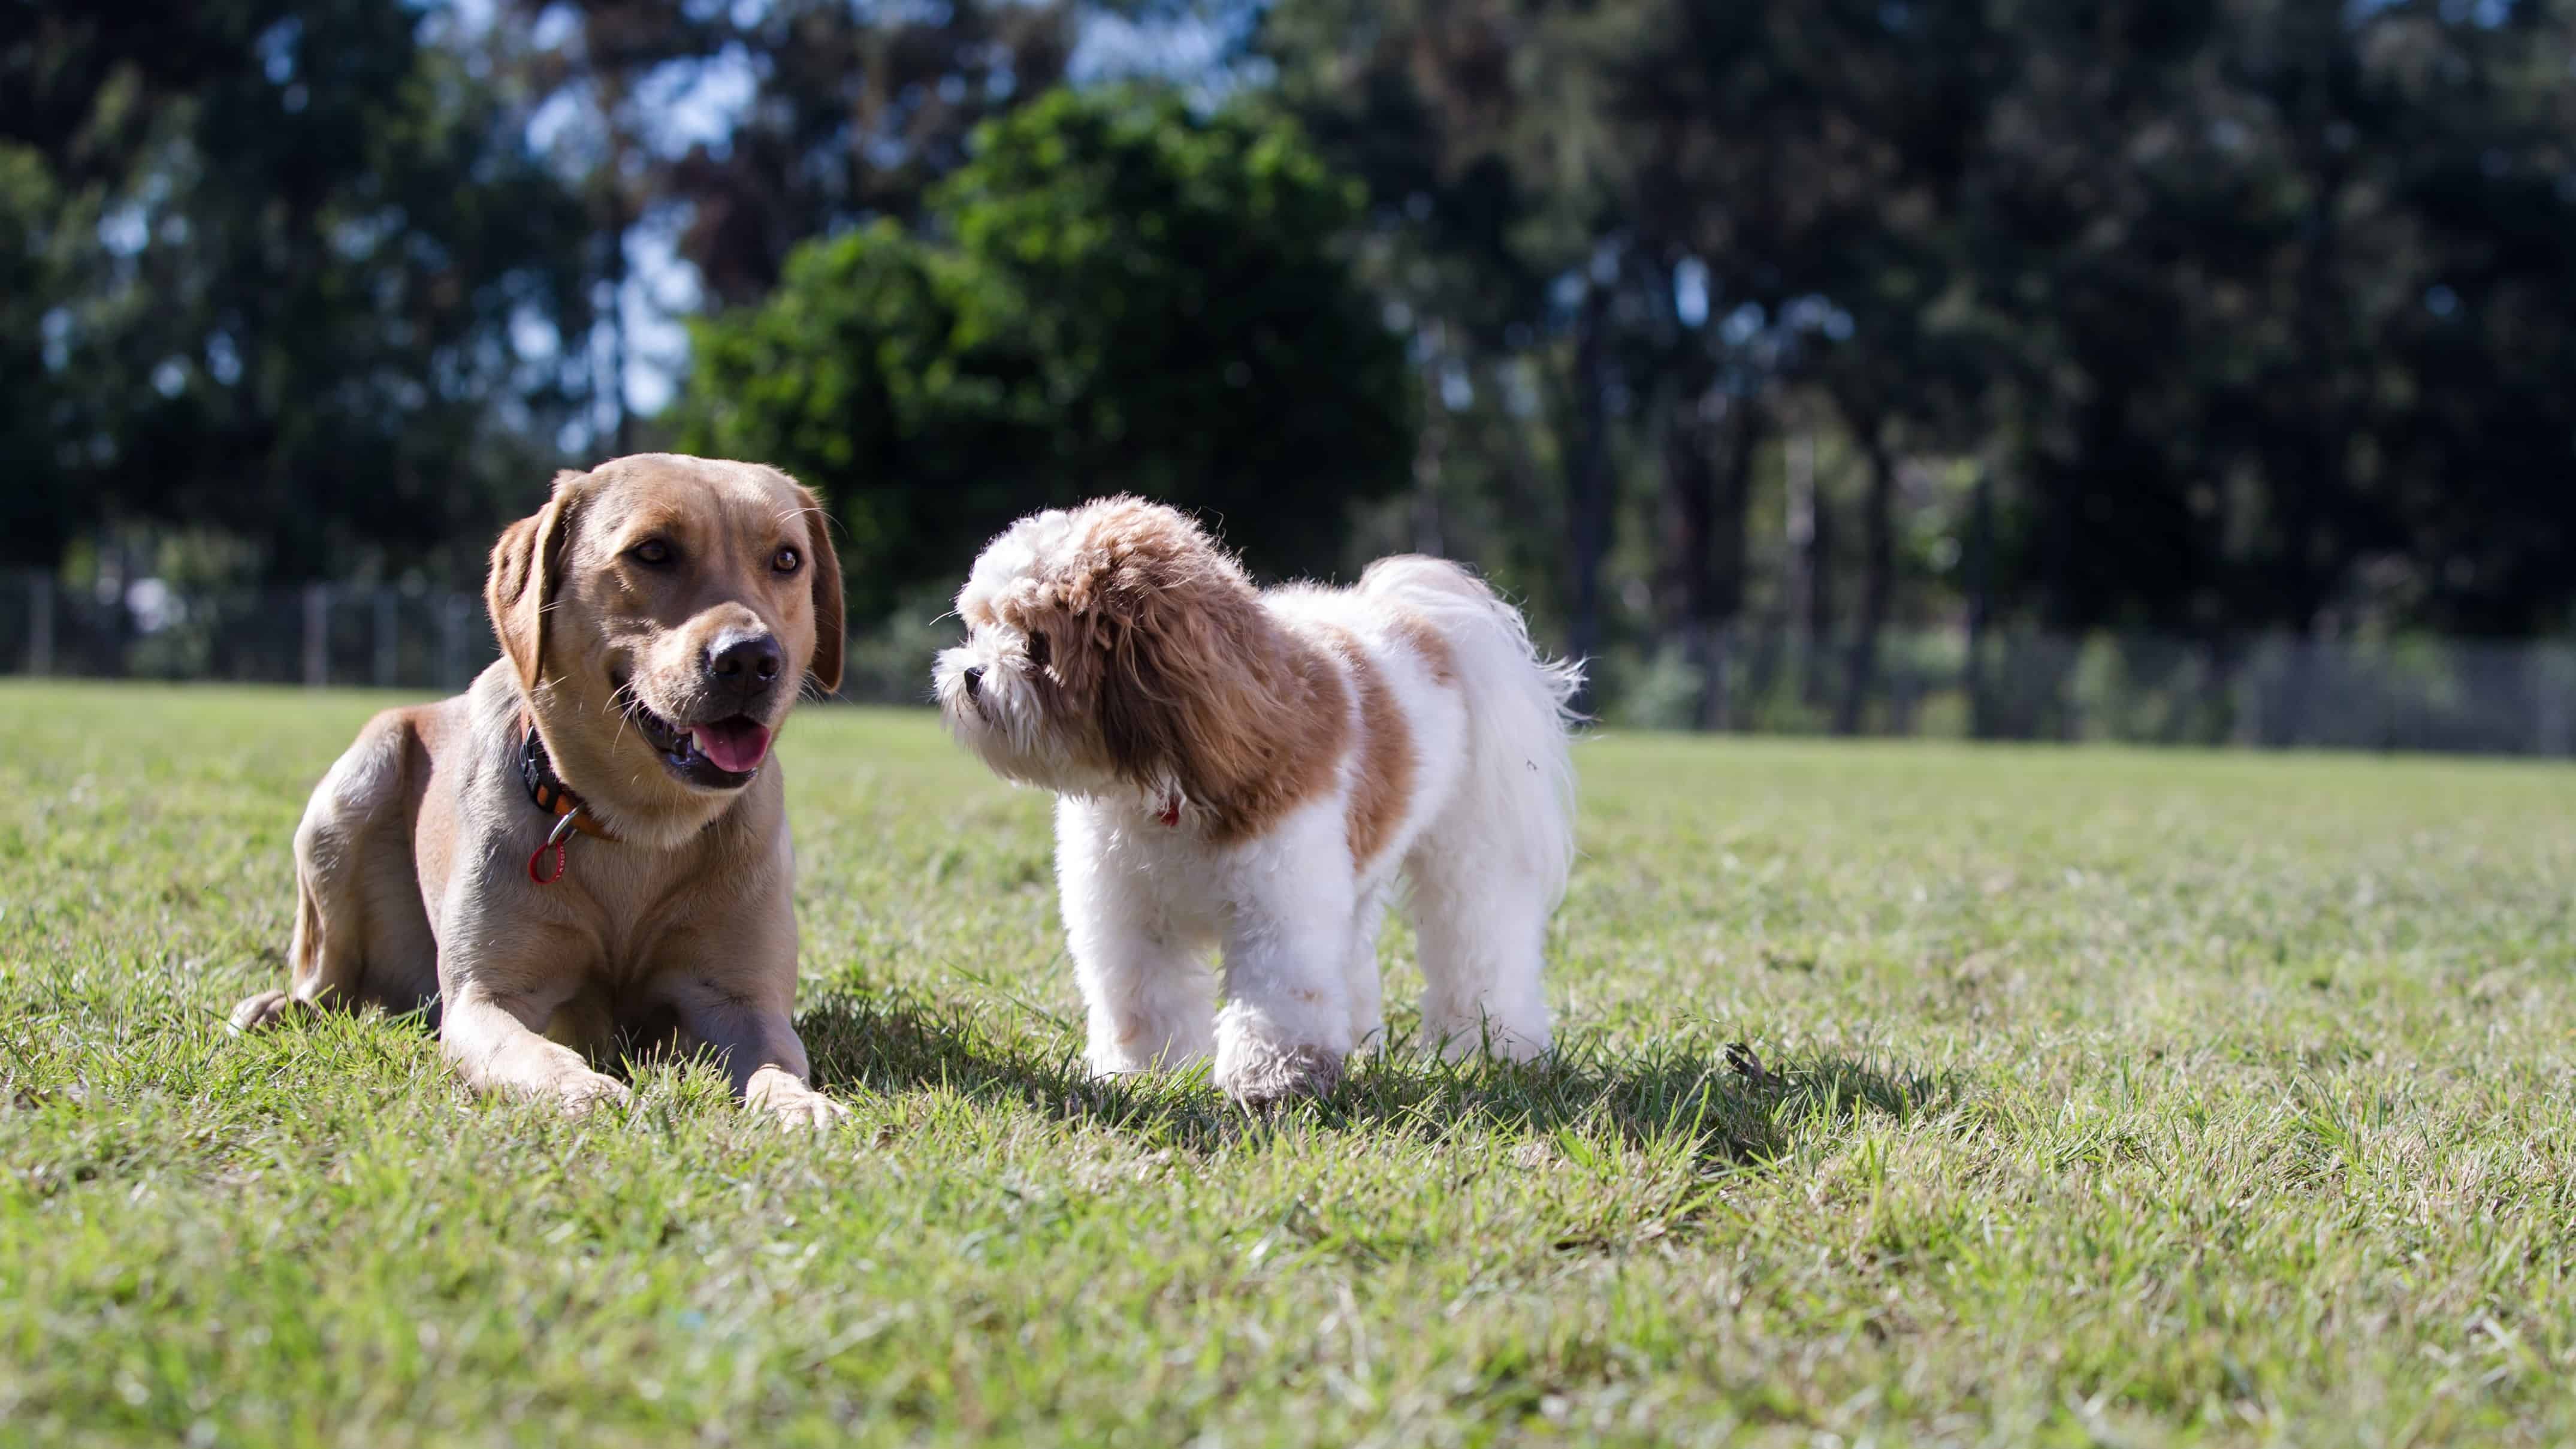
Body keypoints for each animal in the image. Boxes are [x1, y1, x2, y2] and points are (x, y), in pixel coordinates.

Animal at [230, 451, 845, 1129]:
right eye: (653, 551)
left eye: (786, 560)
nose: (751, 660)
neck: (638, 828)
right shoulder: (484, 999)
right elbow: (536, 1054)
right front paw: (586, 1091)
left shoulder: (743, 1001)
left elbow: (774, 1063)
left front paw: (799, 1105)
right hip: (350, 794)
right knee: (329, 980)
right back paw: (277, 1009)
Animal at [932, 492, 1566, 1093]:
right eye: (981, 626)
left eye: (1037, 643)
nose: (971, 674)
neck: (1172, 783)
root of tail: (1422, 619)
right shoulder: (1131, 914)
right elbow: (1140, 1002)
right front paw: (1140, 1075)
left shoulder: (1281, 904)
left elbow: (1279, 997)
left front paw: (1273, 1080)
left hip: (1469, 854)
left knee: (1480, 947)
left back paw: (1496, 1048)